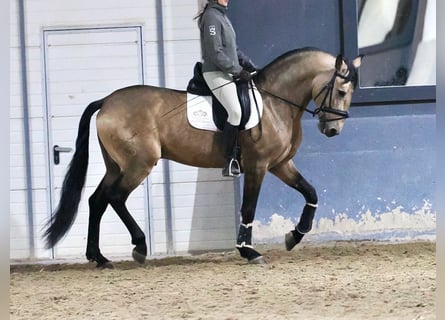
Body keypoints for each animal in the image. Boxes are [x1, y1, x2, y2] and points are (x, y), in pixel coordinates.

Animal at [42, 47, 360, 268]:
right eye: (341, 90)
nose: (333, 130)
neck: (274, 102)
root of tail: (107, 101)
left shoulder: (281, 164)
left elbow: (311, 192)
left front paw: (295, 235)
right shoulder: (257, 167)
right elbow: (248, 209)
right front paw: (249, 251)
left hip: (115, 165)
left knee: (97, 200)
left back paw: (99, 257)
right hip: (138, 164)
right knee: (116, 198)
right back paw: (139, 247)